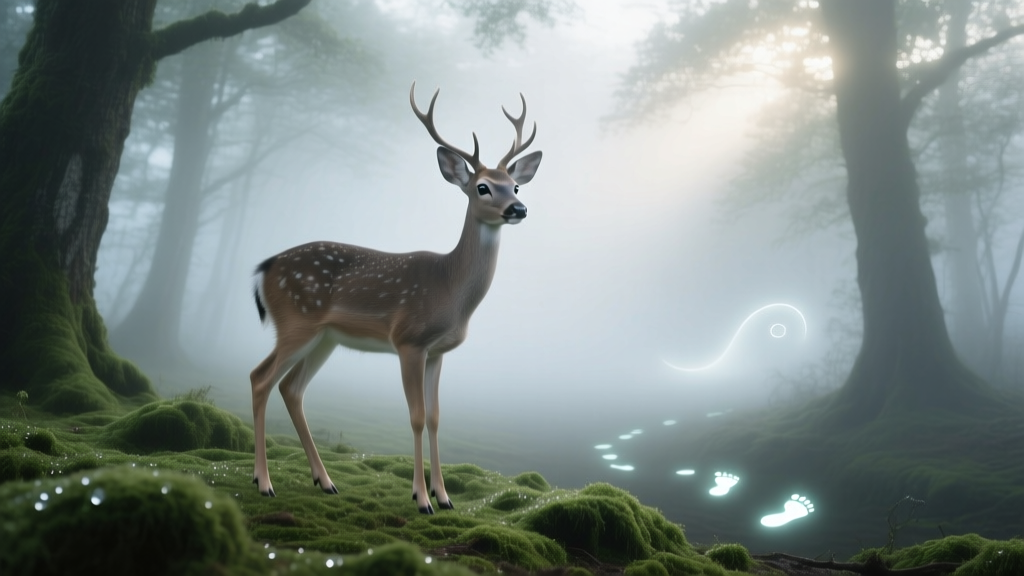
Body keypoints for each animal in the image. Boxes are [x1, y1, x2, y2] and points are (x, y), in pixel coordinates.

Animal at [249, 83, 542, 514]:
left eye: (516, 186)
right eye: (482, 187)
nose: (518, 208)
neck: (450, 292)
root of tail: (264, 267)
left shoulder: (438, 351)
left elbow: (436, 417)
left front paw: (445, 496)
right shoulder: (409, 341)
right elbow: (416, 416)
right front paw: (421, 498)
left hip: (325, 338)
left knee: (291, 388)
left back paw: (326, 481)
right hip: (295, 322)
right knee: (261, 378)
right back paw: (264, 483)